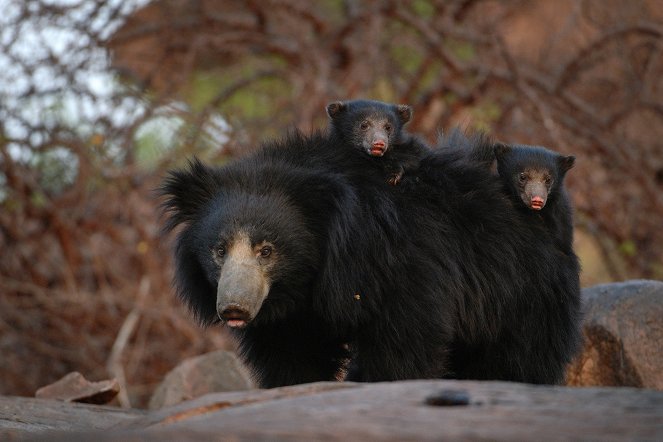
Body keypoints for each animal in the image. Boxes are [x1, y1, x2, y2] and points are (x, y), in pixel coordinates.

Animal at [160, 129, 580, 388]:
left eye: (267, 250)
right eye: (219, 250)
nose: (234, 308)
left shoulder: (402, 263)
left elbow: (405, 339)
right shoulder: (291, 315)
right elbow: (291, 355)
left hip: (523, 292)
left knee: (519, 359)